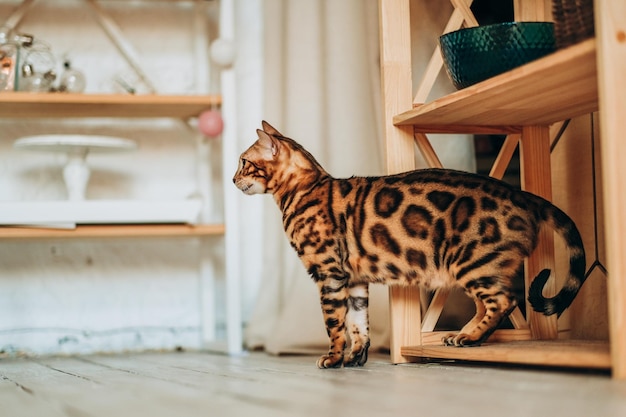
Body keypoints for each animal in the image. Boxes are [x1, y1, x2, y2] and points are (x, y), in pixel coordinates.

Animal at [233, 119, 584, 368]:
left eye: (243, 162)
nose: (233, 179)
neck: (303, 189)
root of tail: (523, 195)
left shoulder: (329, 274)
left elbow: (334, 323)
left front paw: (333, 358)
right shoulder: (355, 279)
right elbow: (358, 323)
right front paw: (355, 358)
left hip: (472, 264)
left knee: (504, 301)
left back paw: (470, 337)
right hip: (478, 269)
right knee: (490, 304)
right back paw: (463, 336)